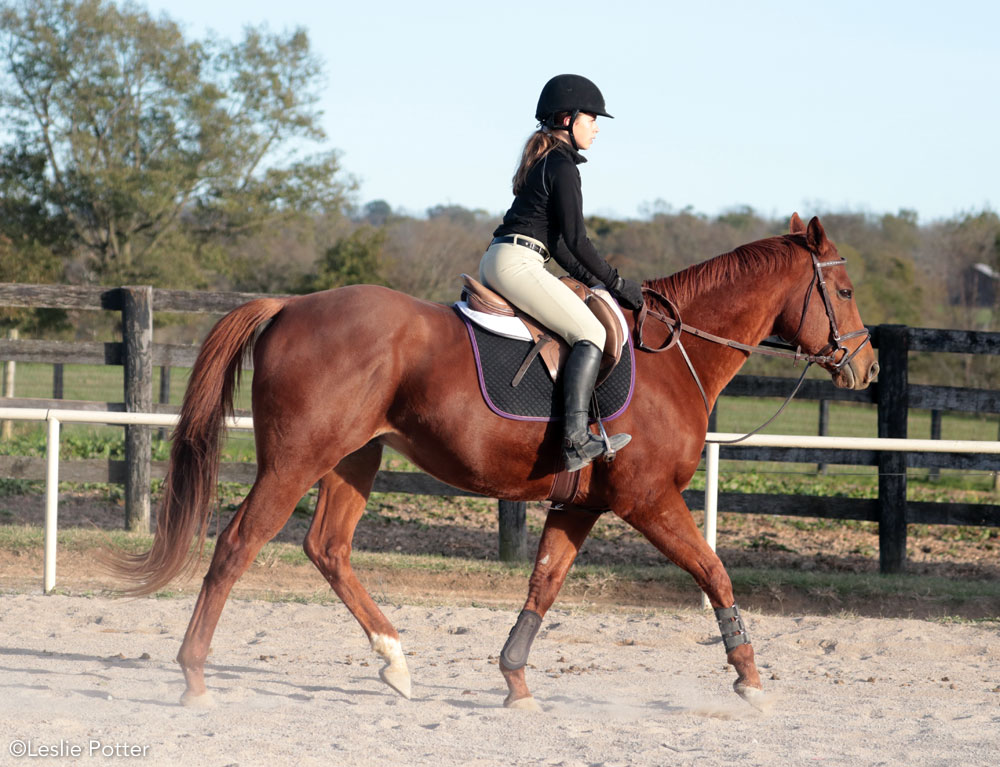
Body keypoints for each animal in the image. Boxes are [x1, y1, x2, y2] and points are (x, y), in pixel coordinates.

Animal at [109, 213, 876, 712]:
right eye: (841, 292)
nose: (865, 367)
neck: (674, 356)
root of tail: (290, 305)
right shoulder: (649, 500)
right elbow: (714, 570)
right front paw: (749, 676)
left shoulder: (579, 504)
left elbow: (543, 584)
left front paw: (515, 682)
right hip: (297, 460)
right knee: (238, 544)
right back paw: (195, 677)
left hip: (354, 460)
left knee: (328, 547)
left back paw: (395, 662)